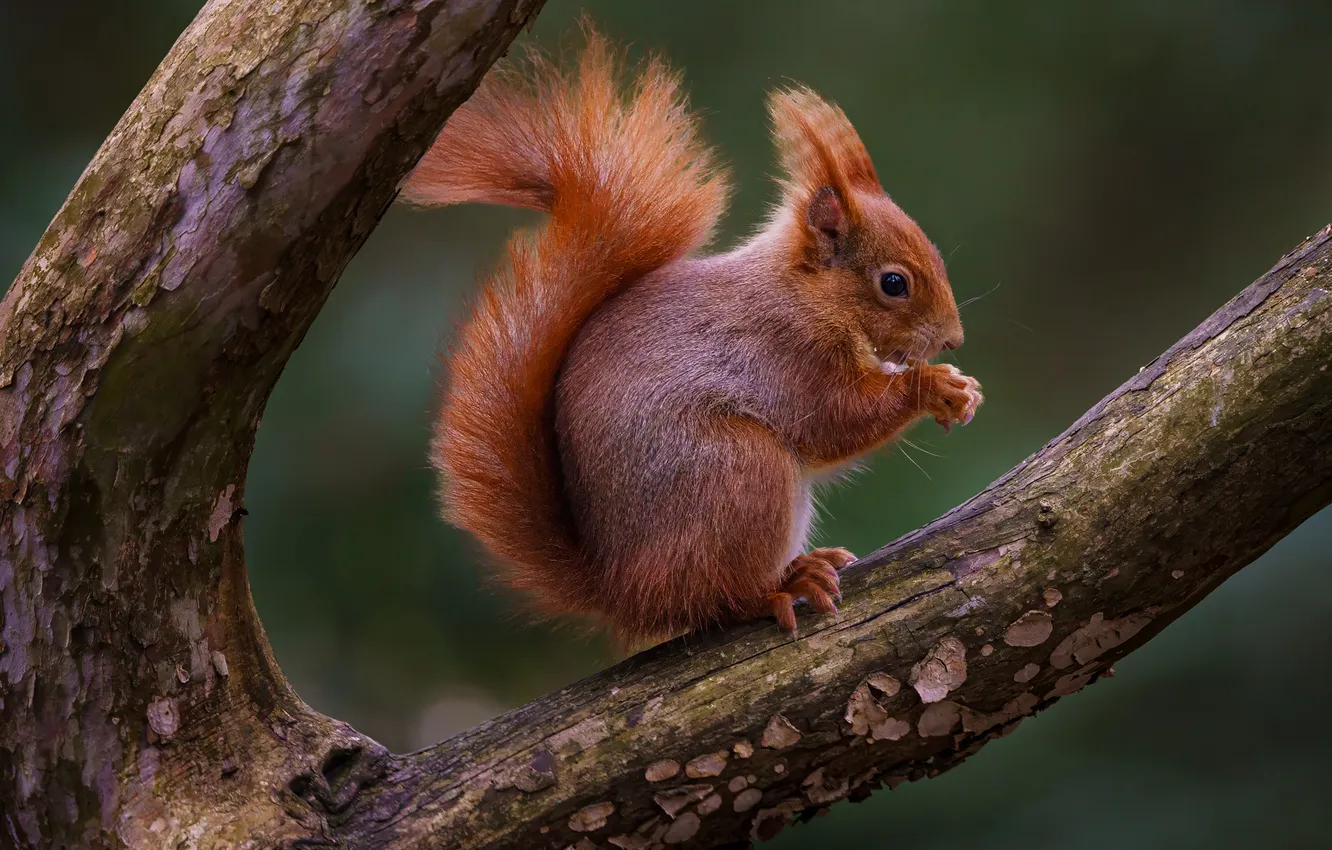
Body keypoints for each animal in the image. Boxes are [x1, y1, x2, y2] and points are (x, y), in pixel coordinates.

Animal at [401, 27, 982, 643]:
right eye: (894, 283)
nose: (952, 339)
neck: (805, 295)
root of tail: (622, 589)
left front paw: (959, 386)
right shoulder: (787, 352)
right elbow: (835, 419)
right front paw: (934, 386)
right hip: (738, 471)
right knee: (714, 600)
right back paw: (779, 587)